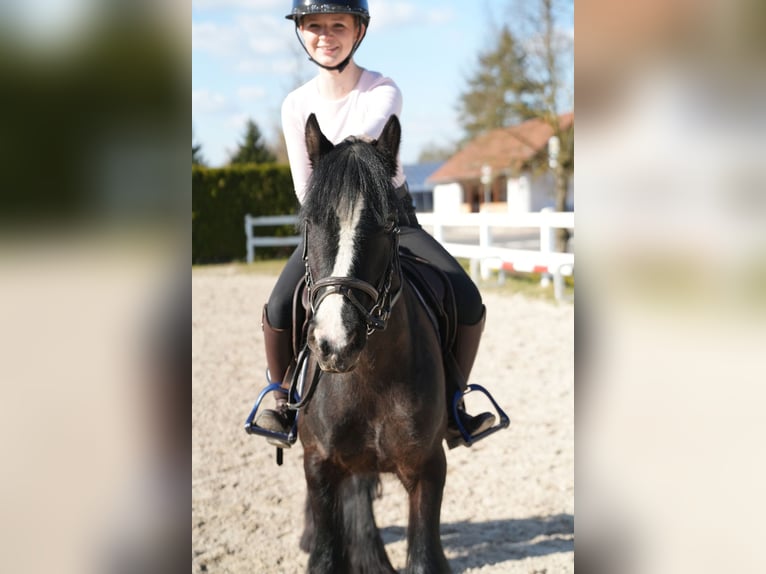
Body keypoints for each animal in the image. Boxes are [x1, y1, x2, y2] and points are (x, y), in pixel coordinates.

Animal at [295, 112, 451, 574]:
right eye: (310, 222)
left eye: (387, 226)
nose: (335, 342)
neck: (369, 377)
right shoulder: (319, 464)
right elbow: (326, 556)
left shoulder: (427, 467)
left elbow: (424, 559)